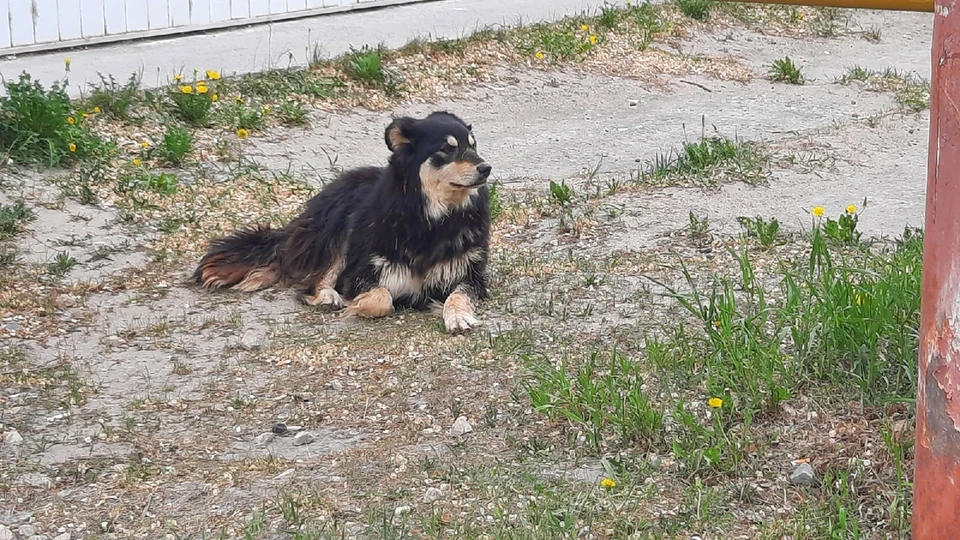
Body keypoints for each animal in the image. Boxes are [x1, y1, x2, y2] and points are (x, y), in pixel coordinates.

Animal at [193, 110, 496, 334]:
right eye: (446, 148)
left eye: (473, 145)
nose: (486, 168)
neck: (432, 218)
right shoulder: (361, 272)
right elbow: (382, 298)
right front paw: (357, 304)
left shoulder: (470, 273)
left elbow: (459, 294)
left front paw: (457, 315)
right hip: (338, 228)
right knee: (318, 277)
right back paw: (328, 296)